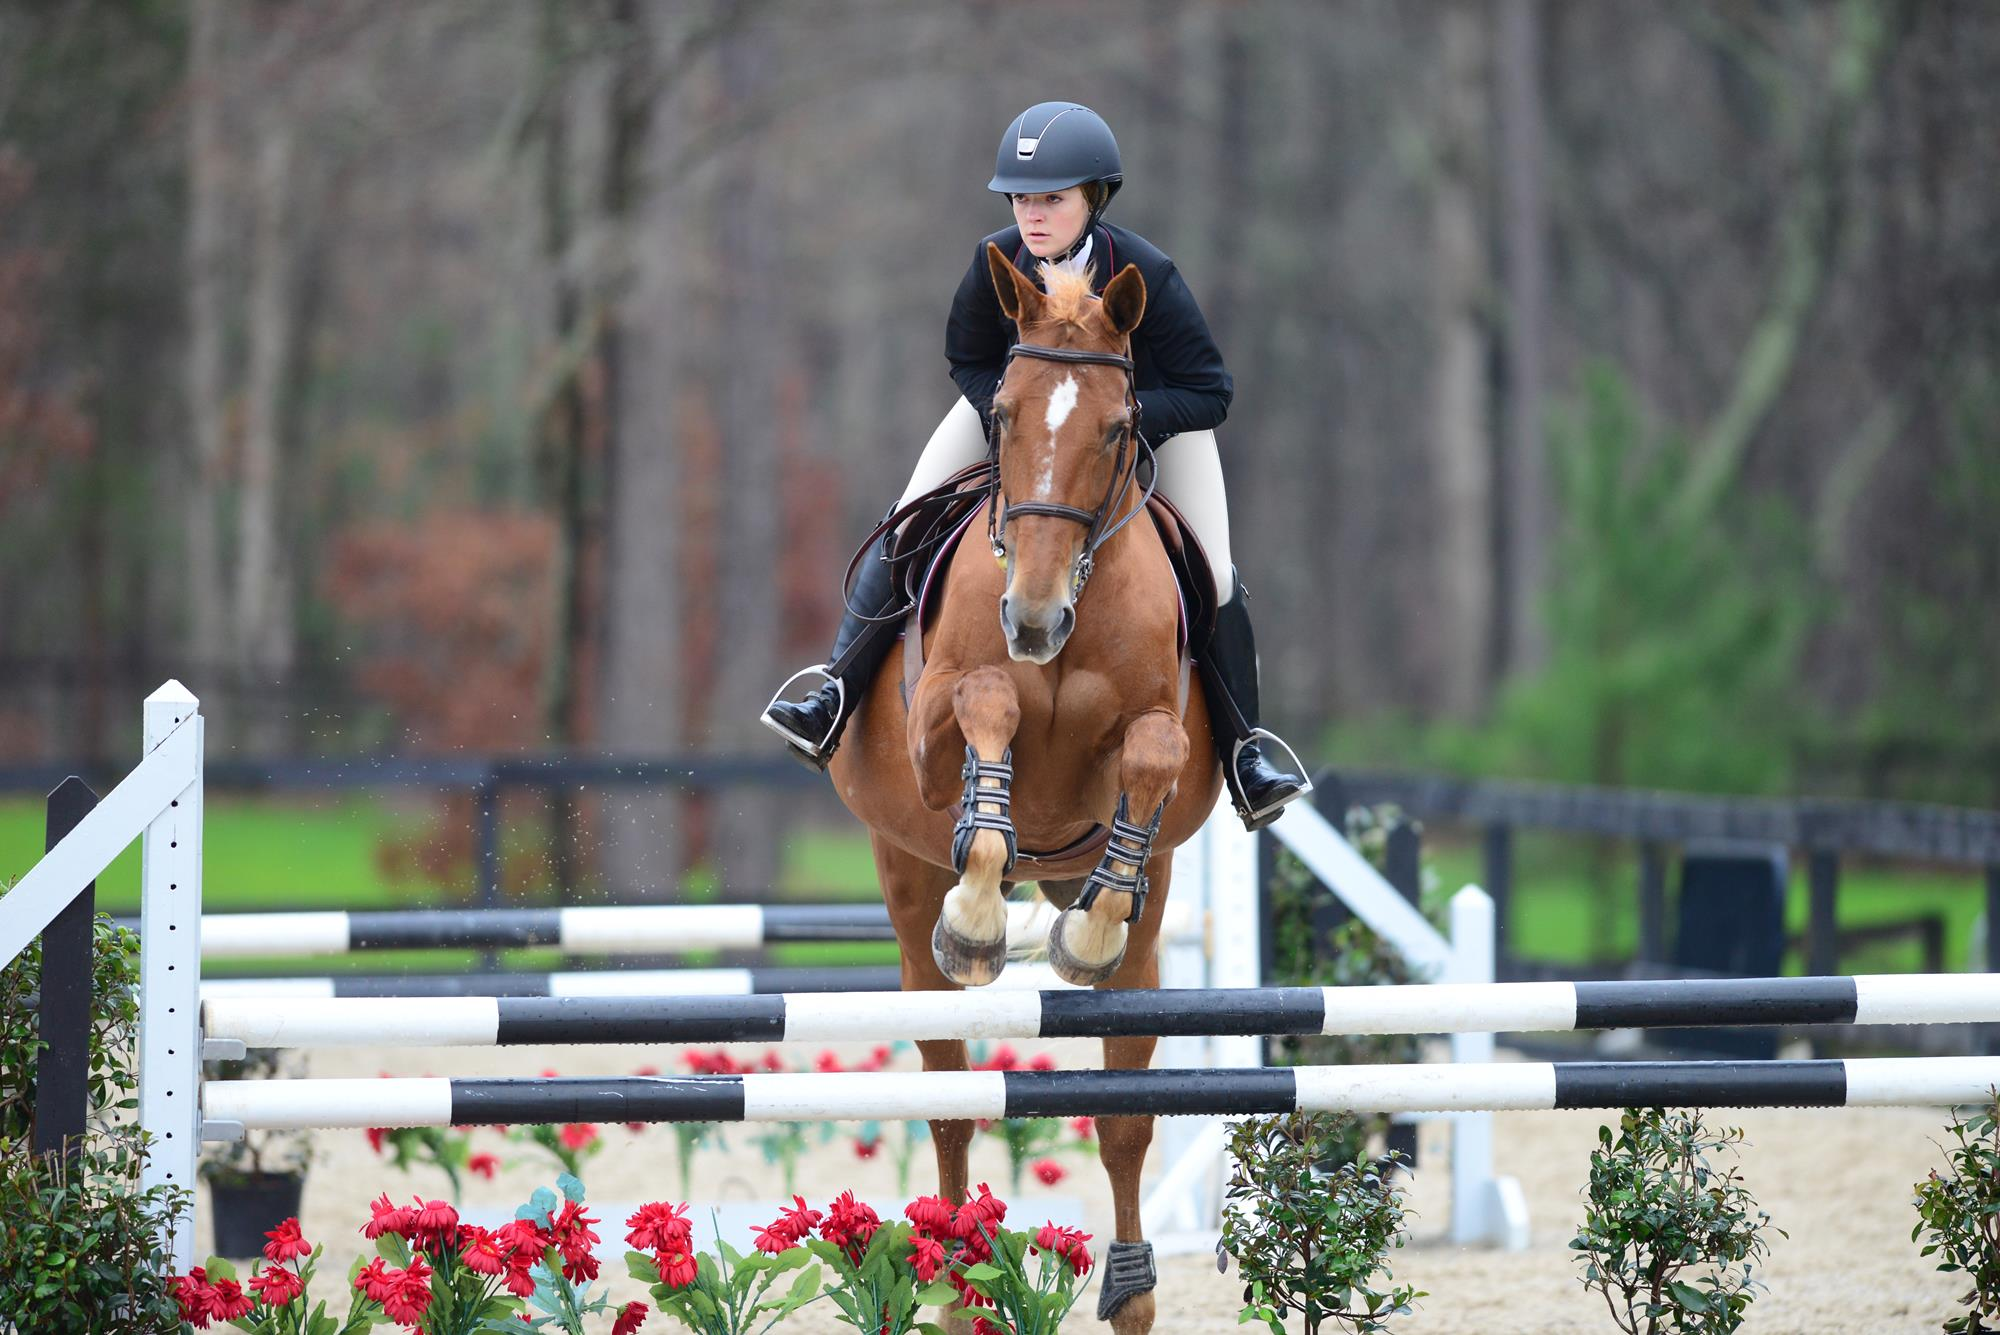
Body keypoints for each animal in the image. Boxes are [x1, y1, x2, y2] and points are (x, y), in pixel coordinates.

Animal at [824, 244, 1224, 1327]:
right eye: (1000, 411)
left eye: (1120, 426)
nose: (1032, 619)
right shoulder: (933, 735)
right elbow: (988, 701)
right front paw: (976, 906)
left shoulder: (1161, 740)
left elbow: (1149, 754)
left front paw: (1087, 929)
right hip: (901, 885)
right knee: (952, 1107)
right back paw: (957, 1284)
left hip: (1154, 928)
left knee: (1124, 1120)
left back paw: (1128, 1290)